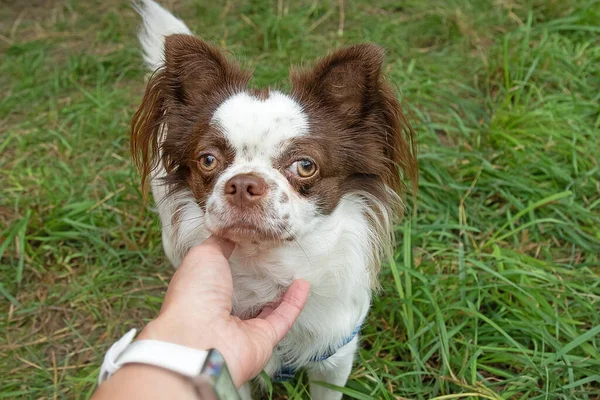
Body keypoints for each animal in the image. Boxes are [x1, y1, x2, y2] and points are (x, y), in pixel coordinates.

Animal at [130, 1, 418, 398]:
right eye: (208, 160)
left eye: (305, 166)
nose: (243, 183)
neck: (269, 270)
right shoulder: (228, 374)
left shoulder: (334, 359)